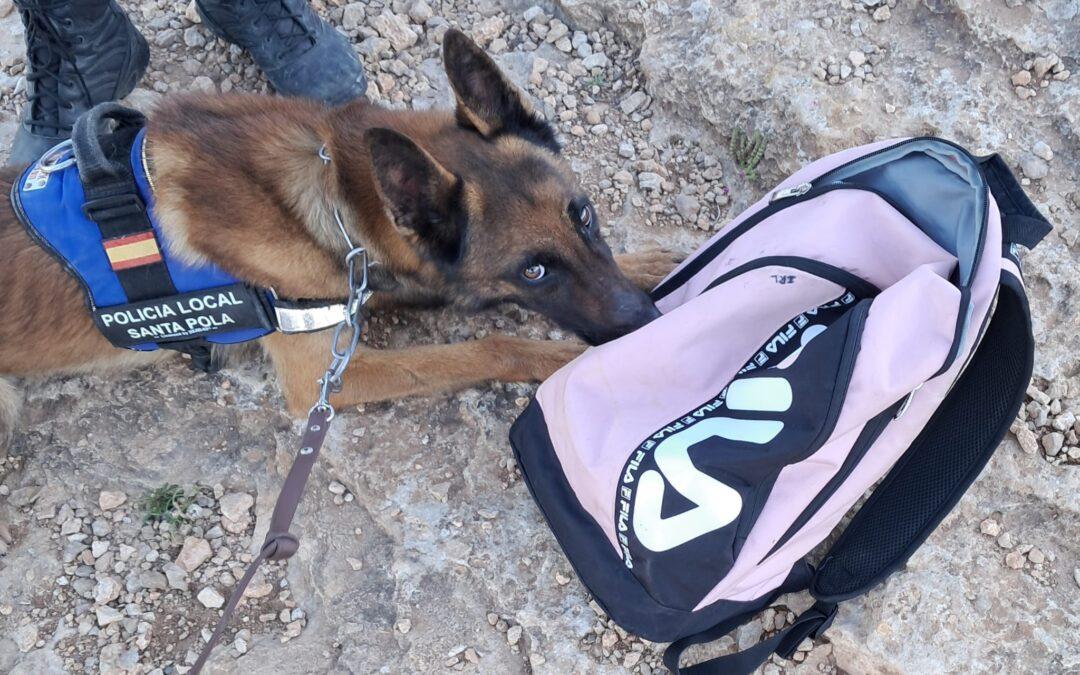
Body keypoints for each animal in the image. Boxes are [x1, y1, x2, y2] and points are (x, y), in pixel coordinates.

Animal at [0, 28, 673, 442]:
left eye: (584, 216)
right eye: (533, 270)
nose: (645, 322)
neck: (337, 196)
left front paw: (648, 263)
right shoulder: (318, 380)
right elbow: (491, 347)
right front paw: (568, 361)